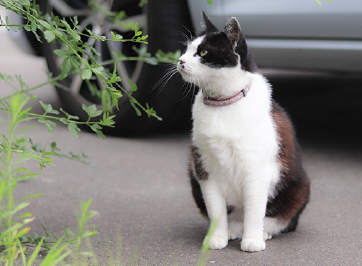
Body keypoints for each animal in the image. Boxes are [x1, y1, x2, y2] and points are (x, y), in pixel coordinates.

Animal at [177, 13, 310, 254]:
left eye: (203, 53)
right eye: (186, 49)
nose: (180, 61)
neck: (222, 103)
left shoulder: (256, 170)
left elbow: (255, 209)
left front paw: (253, 240)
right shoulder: (203, 169)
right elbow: (216, 209)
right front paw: (216, 238)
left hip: (299, 188)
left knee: (281, 219)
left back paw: (262, 232)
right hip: (193, 179)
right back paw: (231, 231)